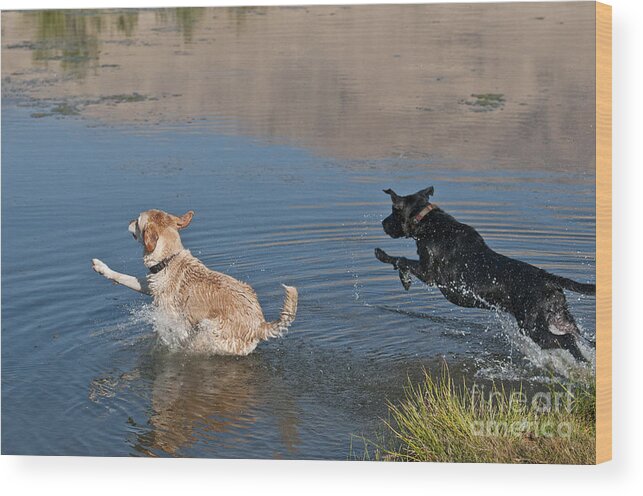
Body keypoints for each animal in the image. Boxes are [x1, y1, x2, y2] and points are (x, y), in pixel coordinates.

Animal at [374, 186, 596, 360]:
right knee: (584, 340)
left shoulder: (429, 273)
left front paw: (388, 261)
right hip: (561, 318)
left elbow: (401, 260)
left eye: (393, 211)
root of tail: (549, 279)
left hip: (533, 326)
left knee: (568, 341)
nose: (383, 223)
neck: (427, 221)